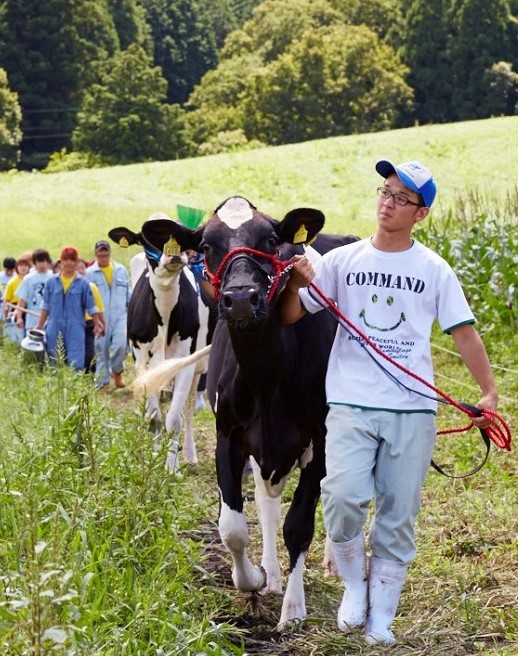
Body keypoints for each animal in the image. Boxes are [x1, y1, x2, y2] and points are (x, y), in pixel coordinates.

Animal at [109, 214, 215, 472]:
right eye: (145, 238)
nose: (175, 255)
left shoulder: (186, 362)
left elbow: (174, 419)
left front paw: (171, 467)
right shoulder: (142, 362)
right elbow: (154, 417)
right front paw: (154, 458)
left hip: (198, 367)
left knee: (189, 409)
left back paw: (189, 454)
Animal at [150, 196, 360, 632]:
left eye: (270, 240)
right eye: (206, 245)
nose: (242, 297)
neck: (267, 377)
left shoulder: (320, 440)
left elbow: (299, 525)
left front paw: (294, 610)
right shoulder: (229, 435)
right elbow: (232, 527)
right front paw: (252, 580)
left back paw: (333, 563)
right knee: (266, 500)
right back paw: (273, 575)